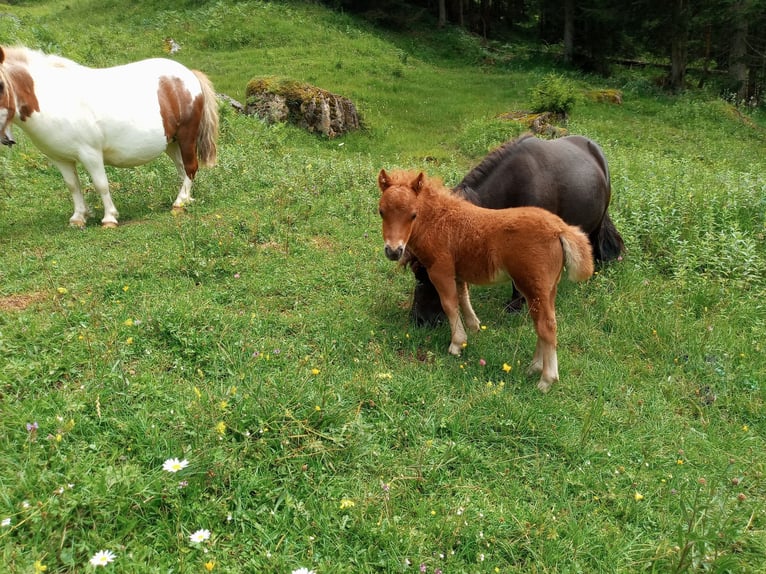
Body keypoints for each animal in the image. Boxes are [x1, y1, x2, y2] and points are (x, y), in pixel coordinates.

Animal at [1, 46, 220, 227]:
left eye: (2, 85)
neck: (54, 101)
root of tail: (188, 75)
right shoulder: (60, 159)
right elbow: (73, 186)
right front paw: (78, 218)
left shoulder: (90, 154)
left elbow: (101, 184)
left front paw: (109, 219)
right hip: (171, 143)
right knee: (182, 169)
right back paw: (186, 199)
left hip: (186, 136)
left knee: (191, 167)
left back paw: (179, 203)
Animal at [380, 169, 596, 394]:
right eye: (381, 212)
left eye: (413, 214)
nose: (393, 251)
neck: (439, 221)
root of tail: (560, 229)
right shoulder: (458, 271)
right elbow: (463, 296)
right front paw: (474, 327)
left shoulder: (440, 270)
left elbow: (449, 304)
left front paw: (457, 344)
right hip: (548, 288)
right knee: (541, 323)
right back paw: (534, 366)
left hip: (533, 285)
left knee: (546, 326)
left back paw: (546, 379)